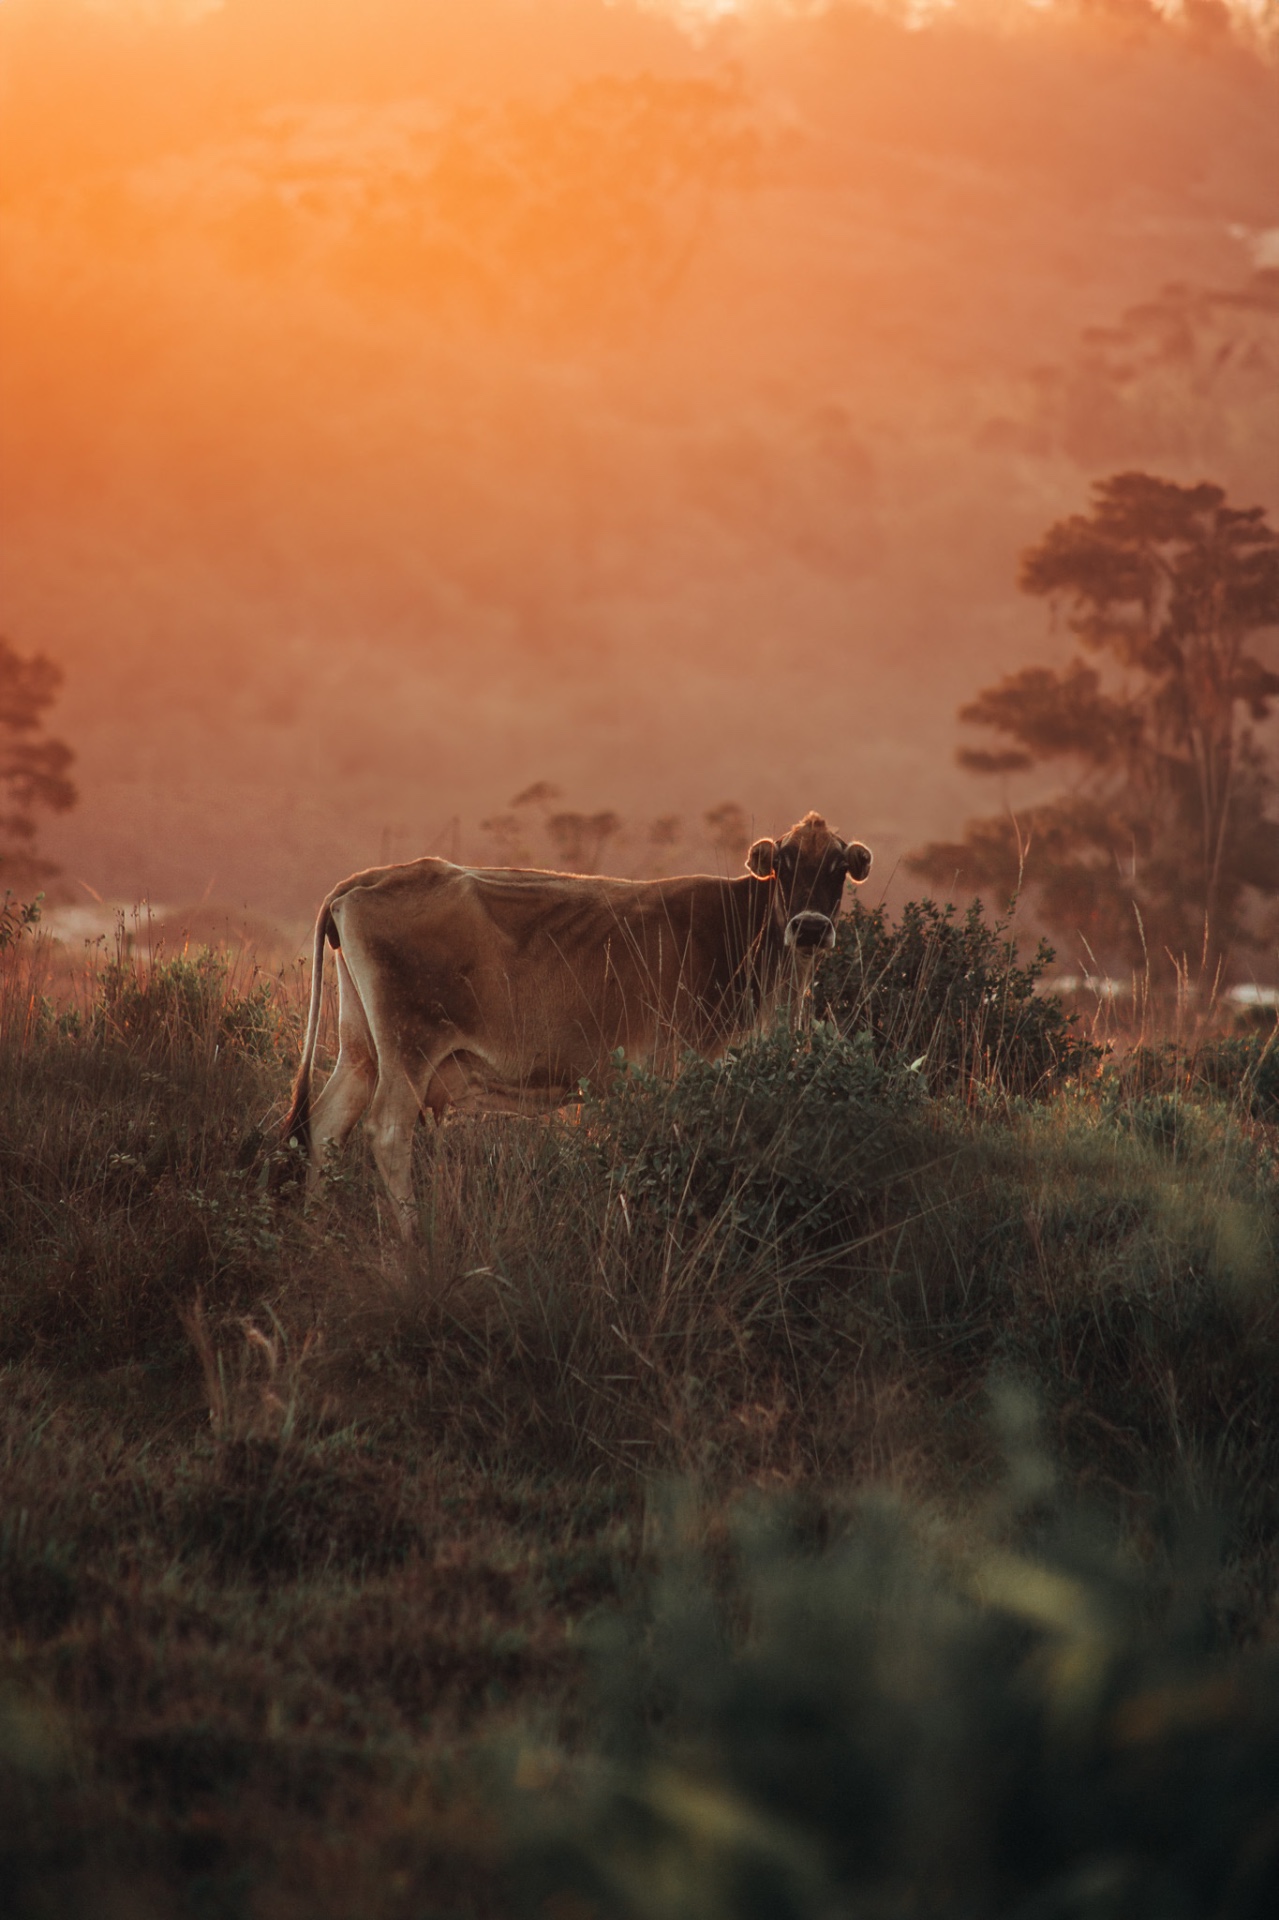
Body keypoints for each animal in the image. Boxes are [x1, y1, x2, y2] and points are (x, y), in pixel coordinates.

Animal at [283, 811, 871, 1236]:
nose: (810, 927)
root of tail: (372, 877)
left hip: (361, 1048)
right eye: (786, 863)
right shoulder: (669, 1068)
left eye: (838, 867)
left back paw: (314, 1232)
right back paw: (411, 1242)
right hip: (408, 1047)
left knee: (327, 1124)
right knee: (387, 1131)